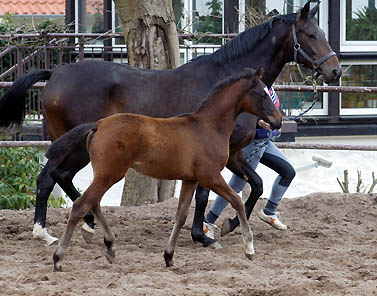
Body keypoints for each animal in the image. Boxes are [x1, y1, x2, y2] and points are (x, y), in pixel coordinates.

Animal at [0, 1, 340, 247]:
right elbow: (207, 195)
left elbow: (254, 185)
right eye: (310, 35)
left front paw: (223, 226)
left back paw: (83, 225)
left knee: (59, 178)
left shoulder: (233, 153)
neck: (222, 85)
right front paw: (205, 234)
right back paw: (51, 231)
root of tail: (55, 74)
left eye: (322, 33)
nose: (335, 71)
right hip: (78, 146)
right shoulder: (215, 157)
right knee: (51, 178)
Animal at [53, 68, 282, 272]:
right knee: (82, 205)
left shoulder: (191, 180)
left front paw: (169, 256)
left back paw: (110, 247)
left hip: (105, 174)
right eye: (263, 94)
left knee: (94, 202)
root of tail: (98, 125)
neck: (208, 127)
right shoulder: (210, 176)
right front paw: (249, 248)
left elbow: (181, 216)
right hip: (110, 174)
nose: (278, 121)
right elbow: (236, 201)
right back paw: (59, 258)